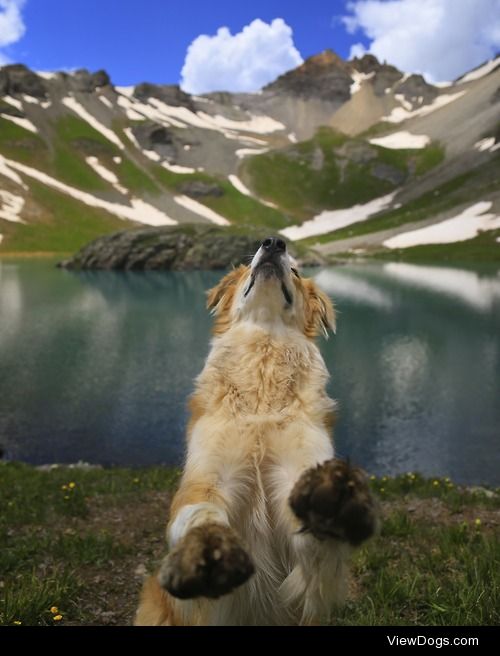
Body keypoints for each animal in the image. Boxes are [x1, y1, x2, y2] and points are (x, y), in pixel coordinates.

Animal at [135, 236, 376, 624]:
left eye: (296, 271)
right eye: (250, 265)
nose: (274, 242)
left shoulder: (295, 489)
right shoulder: (207, 476)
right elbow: (197, 512)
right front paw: (206, 546)